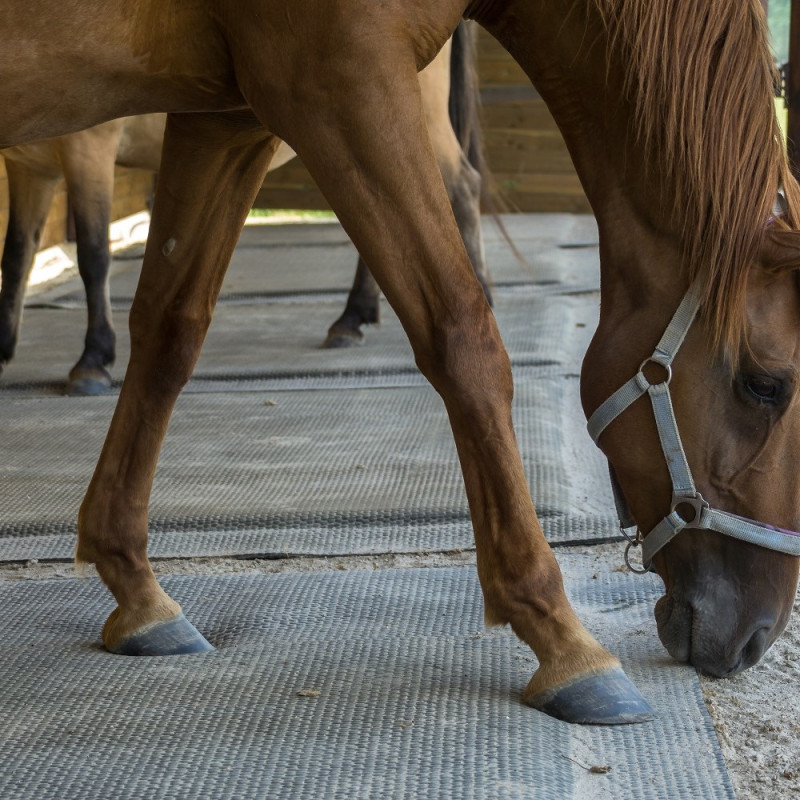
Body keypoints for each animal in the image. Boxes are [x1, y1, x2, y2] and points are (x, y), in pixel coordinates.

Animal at [0, 25, 490, 396]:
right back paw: (353, 317)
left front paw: (93, 359)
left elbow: (93, 256)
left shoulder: (89, 150)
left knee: (463, 189)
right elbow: (18, 257)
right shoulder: (30, 170)